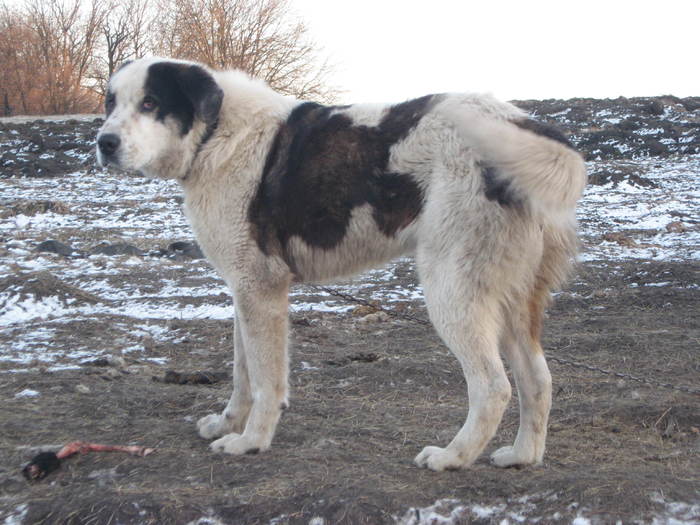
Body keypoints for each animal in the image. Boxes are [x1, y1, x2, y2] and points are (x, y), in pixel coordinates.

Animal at [94, 57, 584, 470]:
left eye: (151, 103)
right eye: (111, 103)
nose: (104, 142)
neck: (216, 132)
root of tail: (526, 127)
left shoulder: (260, 288)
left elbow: (265, 380)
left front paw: (250, 441)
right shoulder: (244, 290)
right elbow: (241, 373)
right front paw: (228, 423)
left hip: (452, 290)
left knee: (493, 386)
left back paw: (453, 457)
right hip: (513, 301)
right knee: (537, 379)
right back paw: (522, 455)